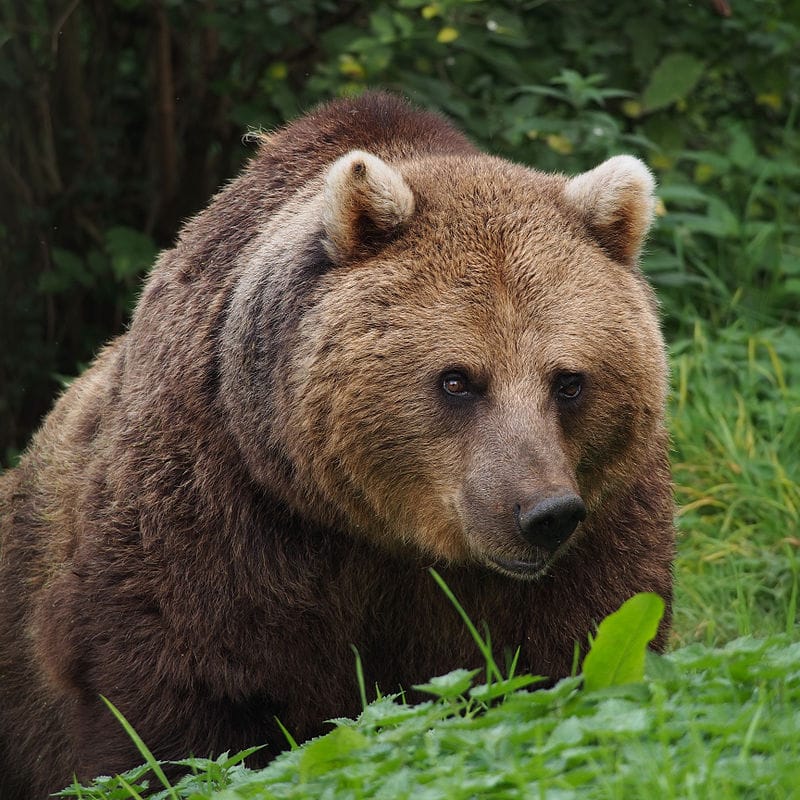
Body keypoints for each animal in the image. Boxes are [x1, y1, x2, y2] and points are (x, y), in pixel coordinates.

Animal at [0, 92, 674, 799]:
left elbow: (575, 648)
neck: (378, 531)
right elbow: (171, 706)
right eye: (457, 379)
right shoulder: (218, 514)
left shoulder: (601, 521)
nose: (542, 513)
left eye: (568, 380)